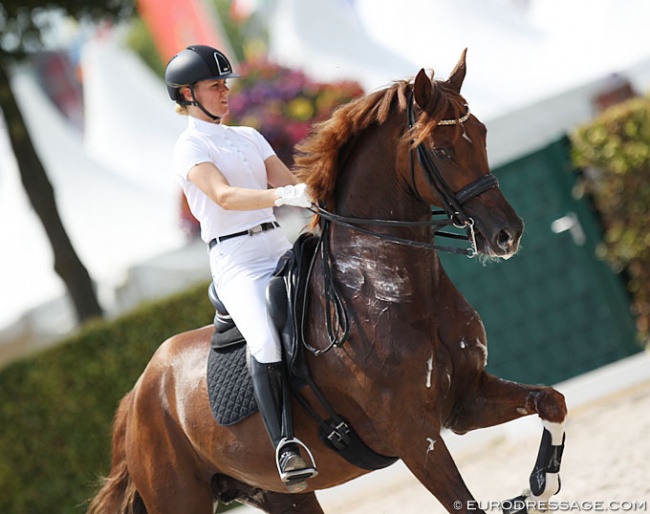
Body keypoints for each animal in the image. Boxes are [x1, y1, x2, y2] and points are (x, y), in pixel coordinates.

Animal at [88, 50, 564, 510]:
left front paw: (541, 482)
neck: (392, 290)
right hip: (180, 497)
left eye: (481, 133)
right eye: (441, 150)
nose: (506, 234)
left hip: (281, 495)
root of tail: (138, 394)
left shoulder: (466, 401)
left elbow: (551, 401)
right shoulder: (415, 436)